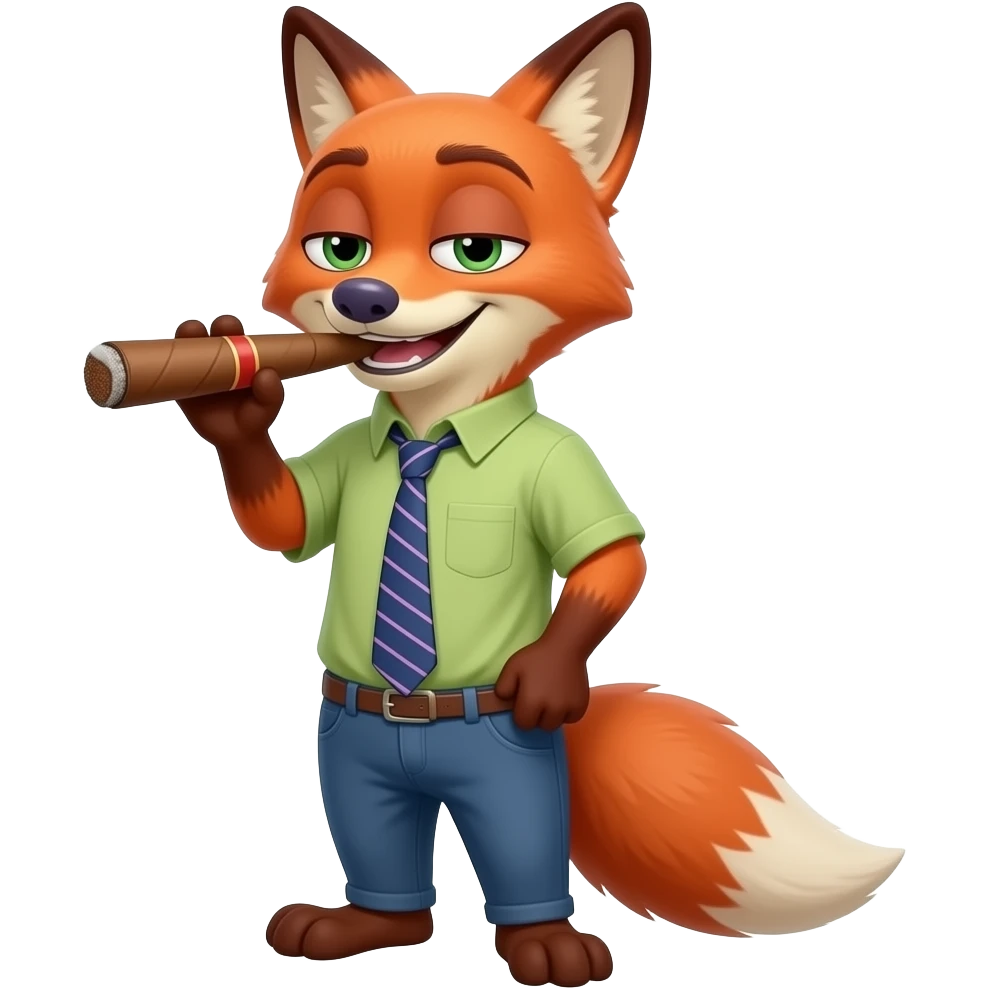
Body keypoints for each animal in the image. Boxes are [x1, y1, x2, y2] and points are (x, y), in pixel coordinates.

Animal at [167, 4, 906, 983]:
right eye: (338, 245)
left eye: (475, 247)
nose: (362, 297)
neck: (431, 425)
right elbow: (287, 518)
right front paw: (227, 393)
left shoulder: (568, 470)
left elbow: (613, 556)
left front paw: (547, 675)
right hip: (354, 762)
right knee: (378, 840)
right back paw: (364, 922)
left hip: (506, 773)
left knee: (519, 843)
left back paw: (543, 942)